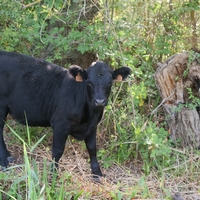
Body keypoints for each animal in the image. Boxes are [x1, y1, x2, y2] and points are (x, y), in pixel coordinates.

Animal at [0, 50, 131, 177]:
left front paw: (97, 173)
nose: (99, 101)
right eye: (89, 82)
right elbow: (58, 150)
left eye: (110, 83)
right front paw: (53, 173)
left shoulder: (93, 126)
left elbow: (92, 149)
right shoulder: (60, 124)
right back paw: (4, 162)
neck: (90, 115)